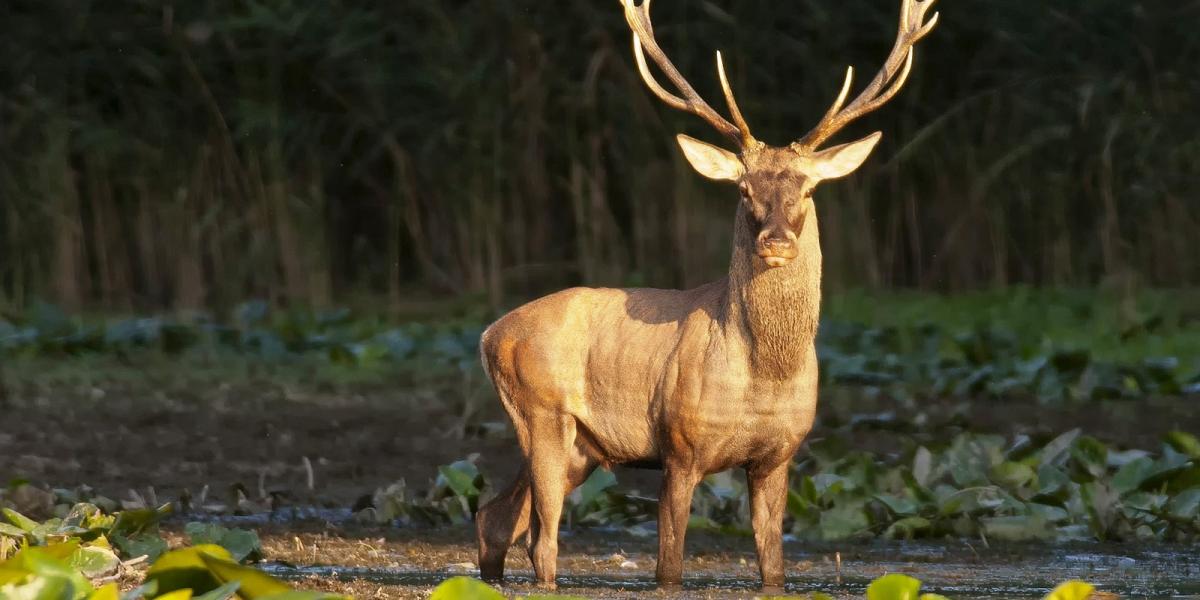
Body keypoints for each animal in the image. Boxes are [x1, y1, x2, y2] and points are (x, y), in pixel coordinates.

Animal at [475, 0, 936, 590]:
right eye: (743, 189)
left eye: (809, 188)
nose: (776, 240)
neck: (763, 381)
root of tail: (490, 334)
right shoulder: (680, 446)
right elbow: (669, 568)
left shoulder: (779, 456)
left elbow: (773, 568)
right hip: (542, 412)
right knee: (542, 541)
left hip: (580, 444)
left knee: (495, 517)